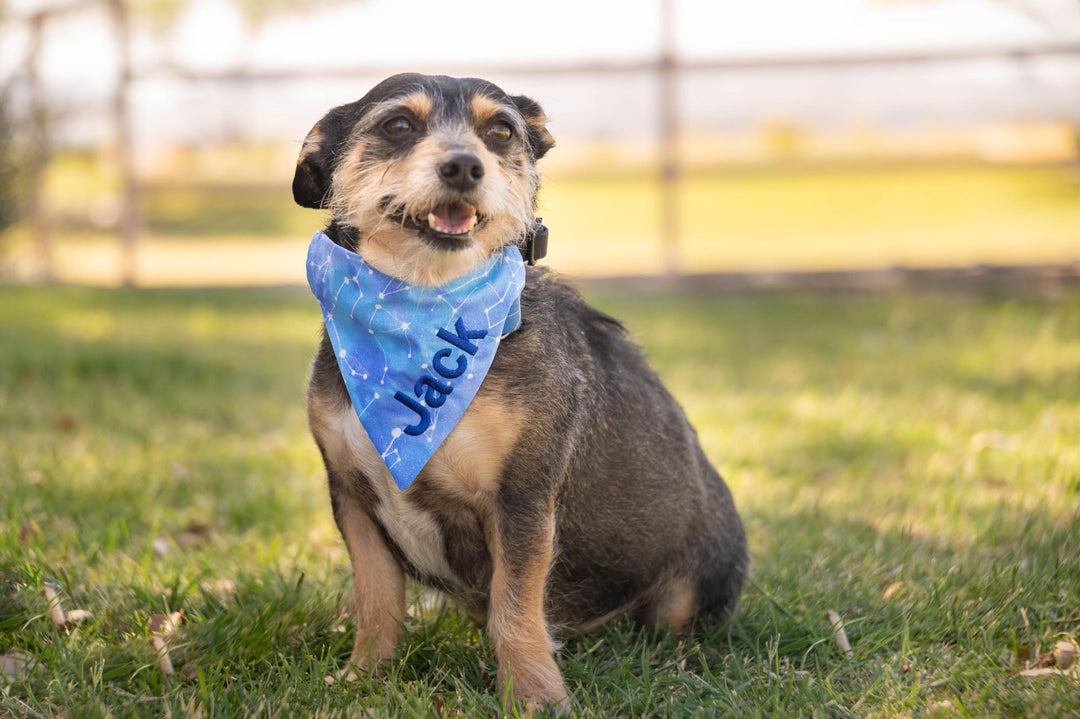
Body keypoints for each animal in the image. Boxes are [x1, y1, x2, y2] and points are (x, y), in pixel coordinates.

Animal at [295, 72, 751, 712]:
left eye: (501, 132)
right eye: (398, 125)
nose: (465, 166)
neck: (422, 307)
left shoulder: (522, 500)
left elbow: (514, 610)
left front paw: (534, 695)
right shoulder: (353, 499)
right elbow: (377, 602)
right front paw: (364, 678)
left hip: (689, 588)